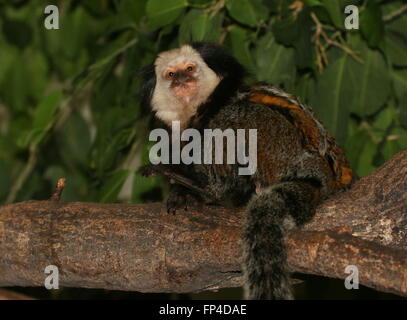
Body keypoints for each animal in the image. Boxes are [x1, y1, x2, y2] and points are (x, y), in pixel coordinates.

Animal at [139, 42, 354, 300]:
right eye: (171, 74)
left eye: (189, 68)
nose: (182, 79)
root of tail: (320, 178)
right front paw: (183, 194)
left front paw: (194, 187)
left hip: (279, 148)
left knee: (234, 117)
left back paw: (205, 187)